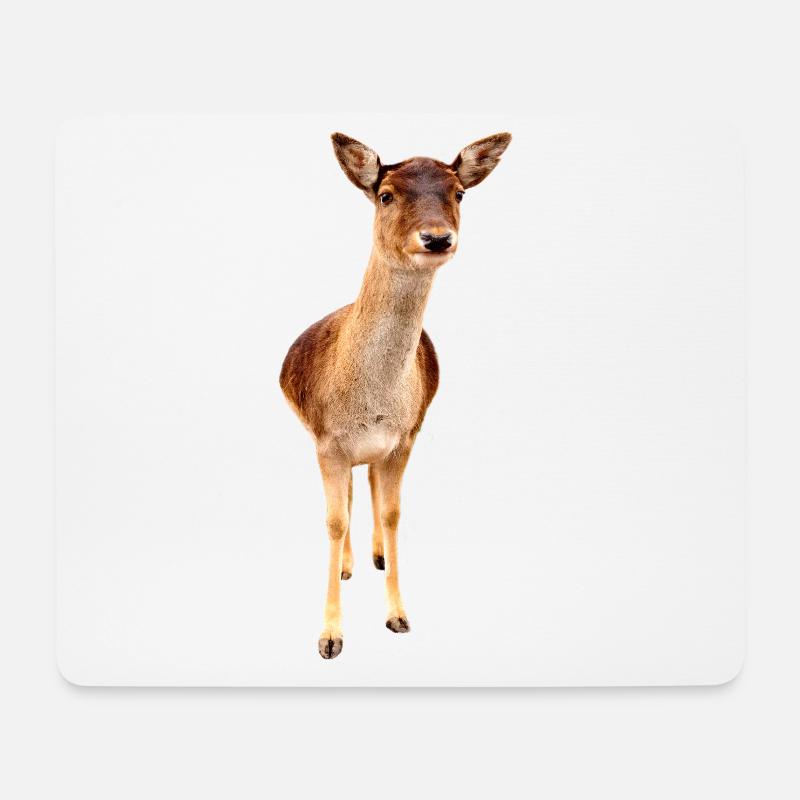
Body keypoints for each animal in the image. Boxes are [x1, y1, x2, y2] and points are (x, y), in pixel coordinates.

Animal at [279, 131, 511, 658]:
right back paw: (349, 565)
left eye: (459, 193)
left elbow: (392, 513)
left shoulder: (405, 437)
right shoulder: (326, 442)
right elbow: (333, 519)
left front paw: (398, 616)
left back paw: (377, 555)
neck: (372, 406)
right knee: (348, 494)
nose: (437, 238)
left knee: (366, 485)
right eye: (386, 194)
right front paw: (330, 637)